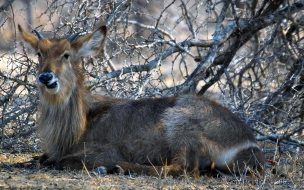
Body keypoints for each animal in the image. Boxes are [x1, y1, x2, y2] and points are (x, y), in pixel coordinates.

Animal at [18, 24, 264, 178]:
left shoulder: (102, 150)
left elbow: (60, 162)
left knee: (184, 169)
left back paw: (116, 168)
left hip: (180, 123)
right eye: (39, 53)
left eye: (66, 55)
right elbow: (41, 158)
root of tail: (249, 143)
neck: (80, 125)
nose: (46, 77)